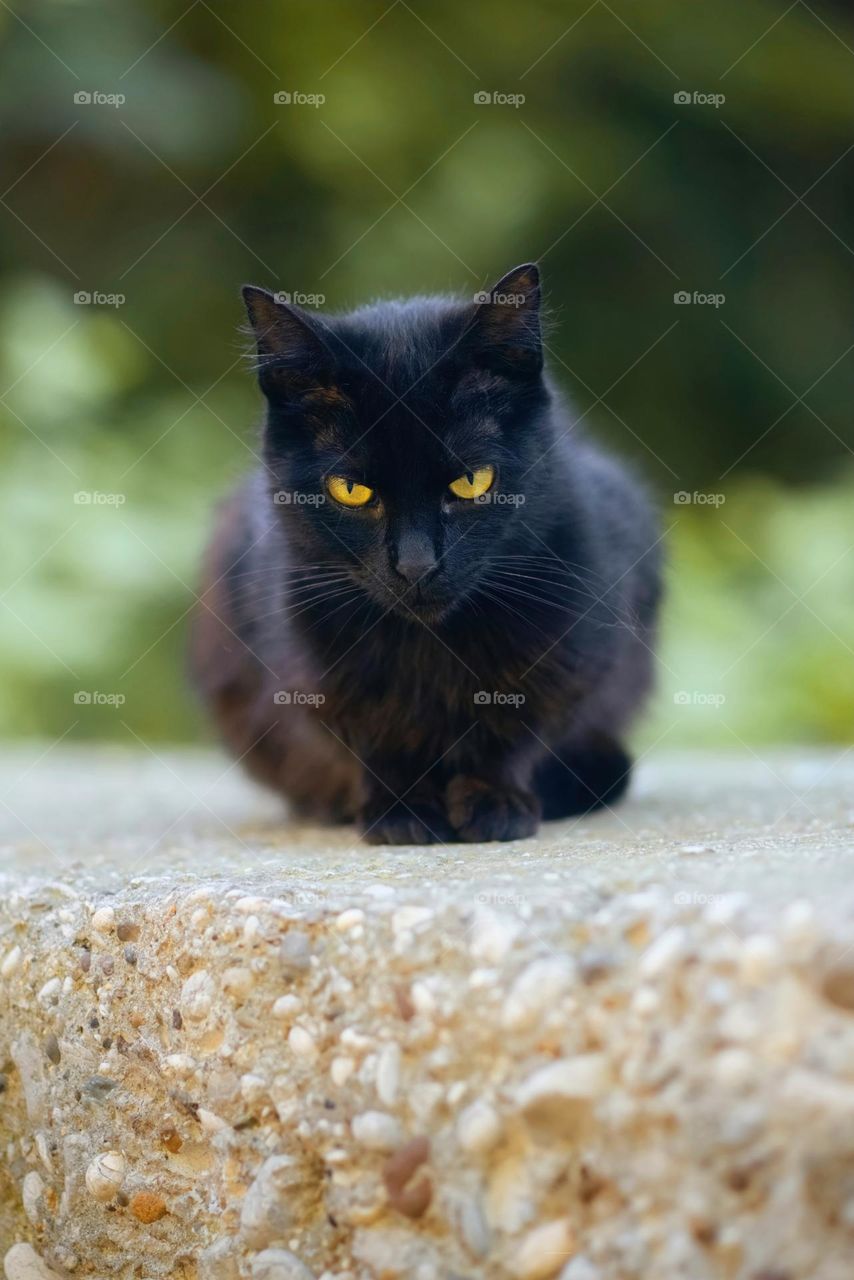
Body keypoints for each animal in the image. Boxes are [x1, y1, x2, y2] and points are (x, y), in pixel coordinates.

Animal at [190, 261, 665, 844]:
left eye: (472, 482)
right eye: (351, 490)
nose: (416, 565)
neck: (430, 651)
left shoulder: (576, 648)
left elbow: (521, 723)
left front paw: (495, 801)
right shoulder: (311, 674)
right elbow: (371, 736)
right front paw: (403, 812)